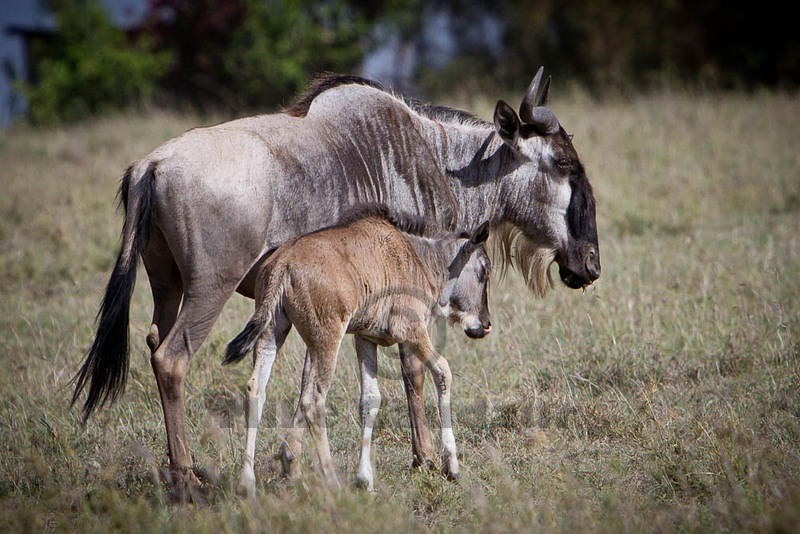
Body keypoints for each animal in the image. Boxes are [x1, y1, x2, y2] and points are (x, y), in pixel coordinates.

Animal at [222, 206, 490, 498]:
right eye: (484, 271)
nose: (485, 324)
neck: (418, 256)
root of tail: (283, 264)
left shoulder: (365, 339)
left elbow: (370, 400)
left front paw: (365, 479)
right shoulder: (411, 330)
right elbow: (444, 373)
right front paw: (451, 466)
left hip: (273, 331)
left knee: (256, 390)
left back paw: (247, 482)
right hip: (327, 338)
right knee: (313, 400)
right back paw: (331, 480)